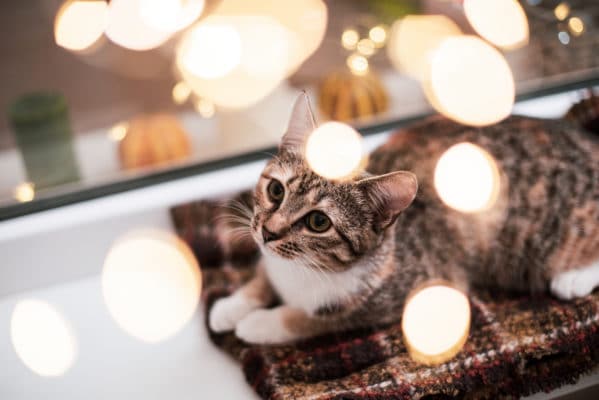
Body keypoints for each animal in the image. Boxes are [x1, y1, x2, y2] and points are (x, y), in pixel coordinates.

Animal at [207, 93, 599, 344]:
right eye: (276, 191)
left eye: (319, 223)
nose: (269, 232)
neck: (303, 270)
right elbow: (262, 275)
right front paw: (231, 306)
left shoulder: (418, 285)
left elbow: (324, 319)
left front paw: (261, 323)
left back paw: (573, 277)